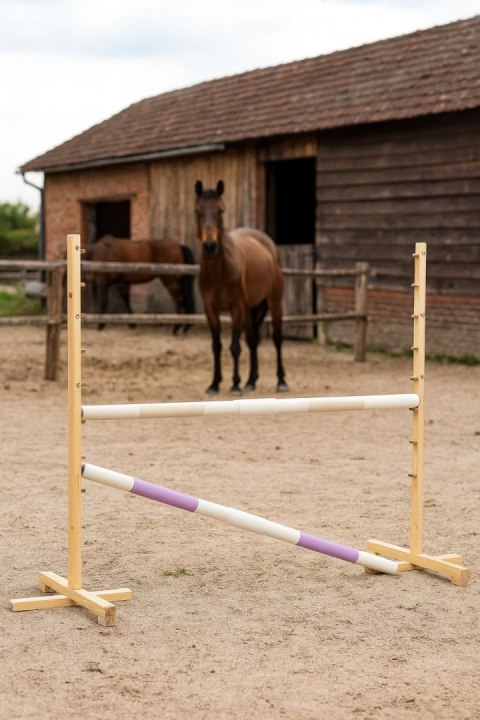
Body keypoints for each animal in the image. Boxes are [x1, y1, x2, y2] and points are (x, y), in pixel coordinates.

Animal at [194, 179, 288, 394]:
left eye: (220, 210)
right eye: (197, 211)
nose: (210, 246)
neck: (219, 270)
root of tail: (269, 244)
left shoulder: (236, 307)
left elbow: (235, 346)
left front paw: (235, 384)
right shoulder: (210, 309)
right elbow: (217, 346)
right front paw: (214, 384)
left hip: (273, 303)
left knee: (277, 338)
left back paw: (281, 381)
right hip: (250, 309)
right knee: (253, 339)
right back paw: (251, 381)